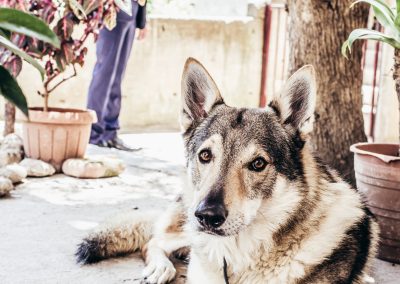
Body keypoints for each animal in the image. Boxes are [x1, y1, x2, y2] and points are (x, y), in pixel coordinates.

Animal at [76, 58, 380, 282]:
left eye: (258, 163)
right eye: (205, 155)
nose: (207, 216)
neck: (235, 262)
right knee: (152, 240)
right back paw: (161, 268)